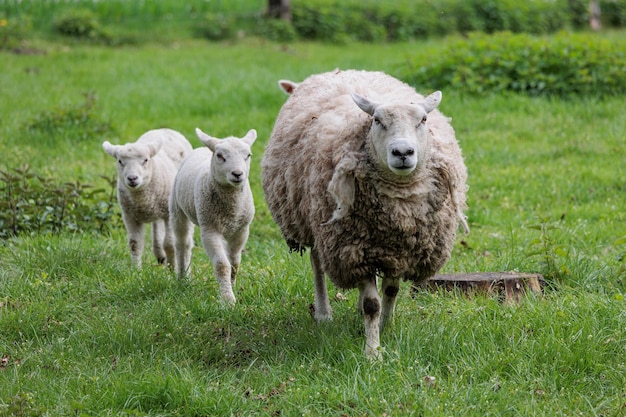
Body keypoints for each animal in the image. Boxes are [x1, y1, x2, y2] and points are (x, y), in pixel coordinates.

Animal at [101, 128, 193, 268]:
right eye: (120, 161)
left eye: (145, 160)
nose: (132, 178)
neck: (142, 200)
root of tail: (164, 129)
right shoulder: (129, 216)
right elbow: (135, 244)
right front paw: (136, 269)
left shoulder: (168, 214)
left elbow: (169, 244)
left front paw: (172, 267)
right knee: (156, 230)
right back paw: (160, 255)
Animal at [168, 127, 256, 306]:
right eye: (220, 156)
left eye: (248, 155)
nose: (238, 174)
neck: (232, 208)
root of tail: (203, 148)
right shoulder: (210, 230)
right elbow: (222, 265)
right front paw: (228, 300)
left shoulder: (242, 230)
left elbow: (234, 263)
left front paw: (232, 286)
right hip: (177, 210)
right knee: (182, 244)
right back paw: (182, 278)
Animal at [260, 68, 468, 358]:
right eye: (377, 120)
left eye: (423, 119)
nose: (402, 152)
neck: (400, 204)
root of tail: (339, 71)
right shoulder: (354, 249)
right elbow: (373, 303)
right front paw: (373, 351)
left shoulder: (399, 249)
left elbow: (391, 290)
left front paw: (386, 327)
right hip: (317, 224)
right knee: (317, 265)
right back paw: (323, 313)